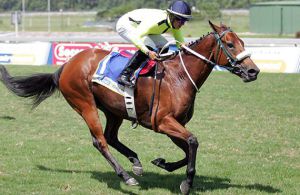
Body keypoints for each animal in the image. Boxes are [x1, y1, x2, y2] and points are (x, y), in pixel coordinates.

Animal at [0, 21, 258, 195]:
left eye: (243, 42)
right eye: (230, 44)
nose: (253, 71)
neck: (179, 76)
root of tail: (66, 65)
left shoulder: (174, 124)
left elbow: (188, 148)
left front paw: (163, 163)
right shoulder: (163, 122)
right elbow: (193, 142)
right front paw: (187, 183)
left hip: (114, 110)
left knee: (110, 137)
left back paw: (135, 162)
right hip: (85, 104)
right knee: (100, 141)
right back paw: (126, 176)